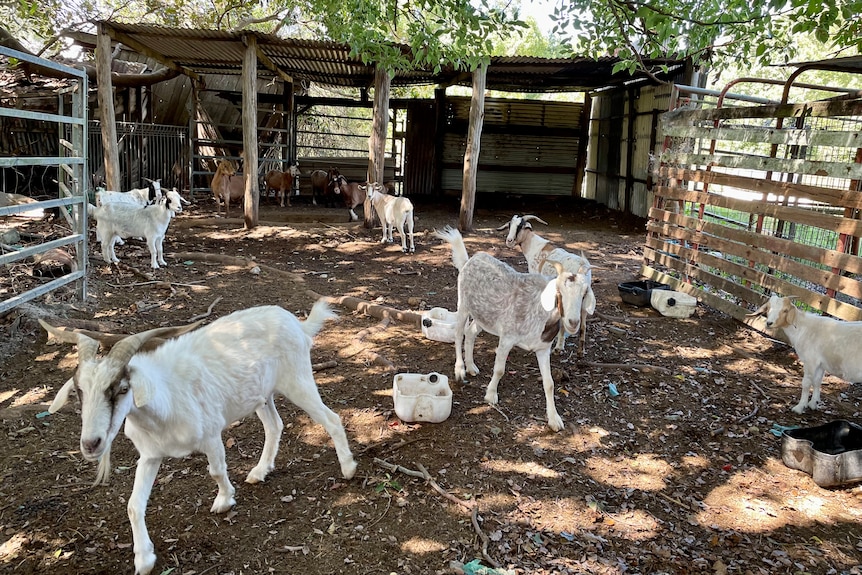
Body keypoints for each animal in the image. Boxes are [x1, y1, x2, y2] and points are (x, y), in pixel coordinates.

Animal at [39, 302, 358, 575]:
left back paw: (348, 468)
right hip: (260, 394)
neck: (165, 399)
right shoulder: (150, 455)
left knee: (331, 418)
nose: (91, 444)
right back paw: (259, 471)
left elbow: (216, 470)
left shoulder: (211, 434)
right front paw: (144, 559)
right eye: (79, 391)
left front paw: (225, 501)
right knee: (274, 425)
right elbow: (133, 504)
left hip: (297, 379)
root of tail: (297, 324)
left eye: (122, 388)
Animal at [436, 225, 592, 432]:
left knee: (470, 332)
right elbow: (500, 369)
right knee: (458, 333)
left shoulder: (542, 348)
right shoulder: (507, 338)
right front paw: (491, 395)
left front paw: (554, 419)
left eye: (584, 293)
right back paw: (460, 369)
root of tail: (470, 260)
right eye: (559, 292)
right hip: (463, 304)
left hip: (484, 315)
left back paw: (471, 366)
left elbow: (549, 383)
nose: (573, 322)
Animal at [496, 215, 596, 356]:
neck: (534, 246)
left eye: (520, 226)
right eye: (510, 225)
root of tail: (583, 267)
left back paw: (558, 348)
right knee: (583, 325)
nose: (509, 241)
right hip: (583, 301)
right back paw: (580, 351)